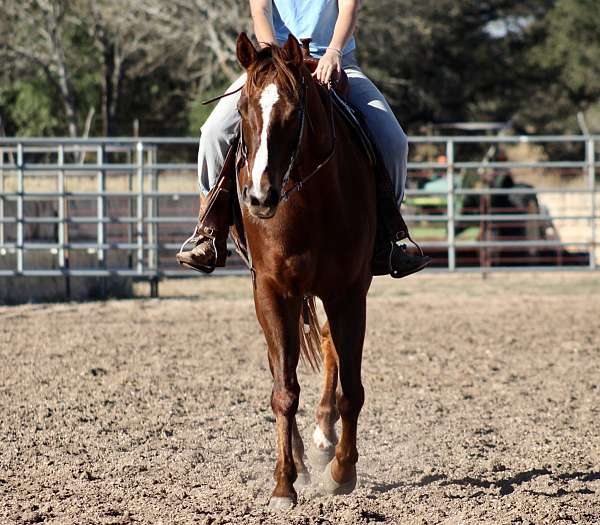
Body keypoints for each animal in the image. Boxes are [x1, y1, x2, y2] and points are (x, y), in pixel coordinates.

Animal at [236, 32, 376, 508]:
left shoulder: (349, 292)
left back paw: (324, 437)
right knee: (281, 366)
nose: (259, 197)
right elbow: (283, 389)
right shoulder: (272, 290)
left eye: (294, 113)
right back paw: (298, 452)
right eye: (241, 110)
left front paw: (342, 472)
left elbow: (352, 387)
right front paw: (284, 483)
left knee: (330, 351)